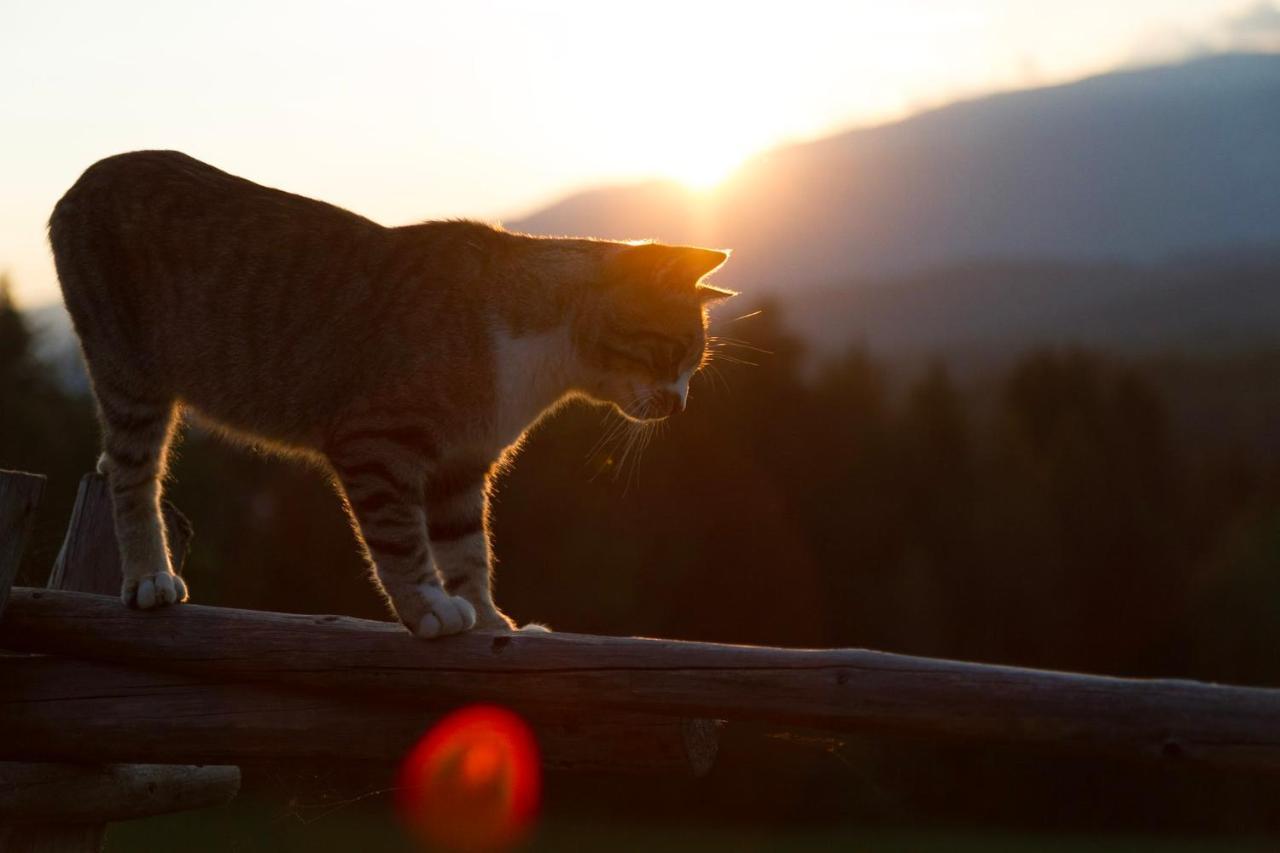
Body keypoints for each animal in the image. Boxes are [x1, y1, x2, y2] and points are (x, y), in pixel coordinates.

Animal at [49, 149, 737, 635]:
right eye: (675, 354)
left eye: (694, 367)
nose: (678, 403)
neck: (543, 364)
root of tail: (88, 176)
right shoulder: (374, 440)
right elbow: (400, 536)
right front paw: (429, 609)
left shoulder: (463, 464)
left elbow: (467, 548)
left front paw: (490, 620)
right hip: (130, 368)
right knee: (133, 473)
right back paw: (149, 577)